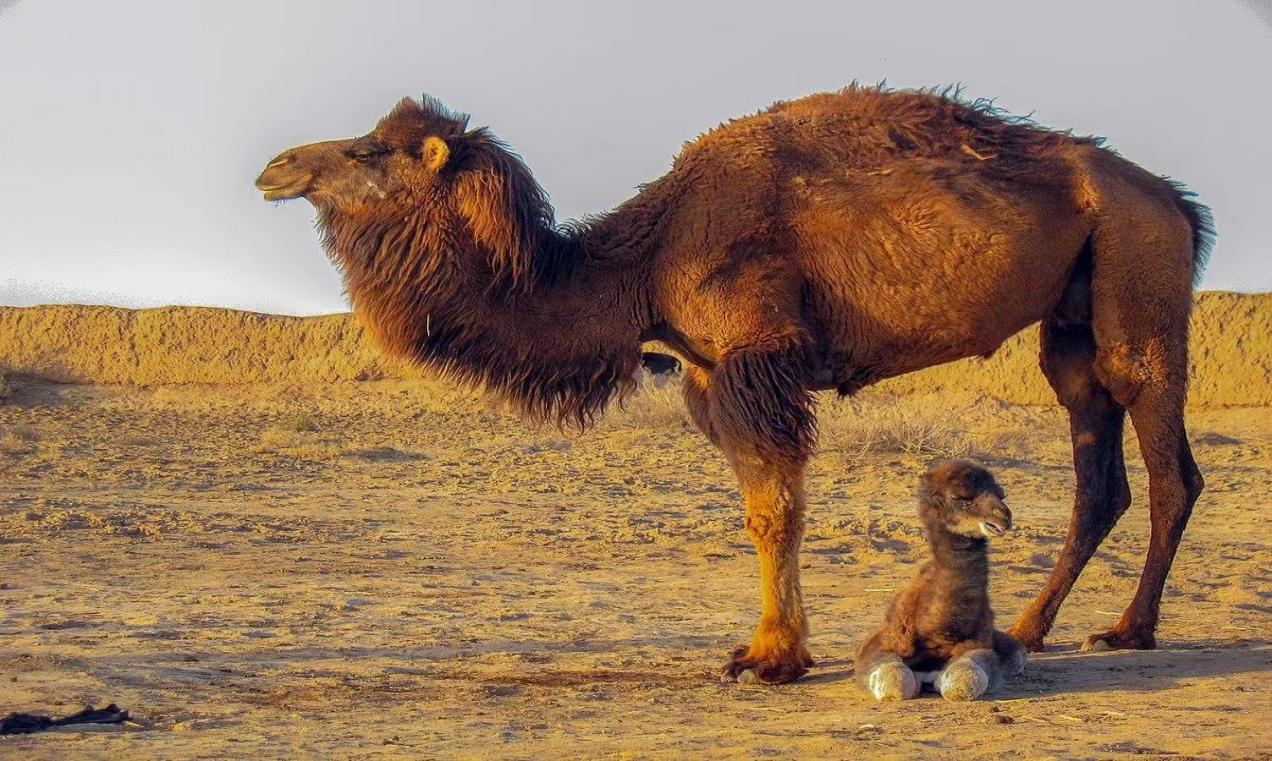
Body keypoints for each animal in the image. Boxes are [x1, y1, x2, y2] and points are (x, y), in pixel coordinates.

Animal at [854, 458, 1022, 702]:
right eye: (959, 497)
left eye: (1000, 494)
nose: (1004, 516)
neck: (937, 633)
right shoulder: (879, 645)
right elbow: (894, 679)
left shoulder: (978, 646)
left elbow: (966, 676)